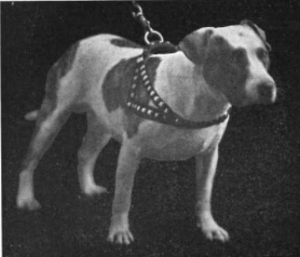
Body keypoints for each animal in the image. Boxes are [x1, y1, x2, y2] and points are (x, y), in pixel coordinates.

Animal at [16, 20, 276, 244]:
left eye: (263, 54)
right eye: (234, 58)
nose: (267, 87)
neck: (198, 94)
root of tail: (80, 43)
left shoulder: (209, 155)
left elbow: (204, 195)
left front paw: (209, 227)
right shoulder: (130, 153)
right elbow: (123, 197)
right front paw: (119, 231)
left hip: (102, 124)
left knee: (85, 153)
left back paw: (88, 188)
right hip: (52, 119)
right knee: (29, 161)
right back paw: (25, 199)